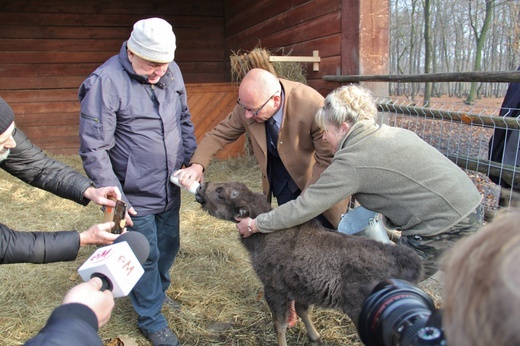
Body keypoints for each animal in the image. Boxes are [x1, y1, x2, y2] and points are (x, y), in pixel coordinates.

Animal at [195, 182, 422, 344]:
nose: (201, 187)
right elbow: (302, 310)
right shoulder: (301, 288)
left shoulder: (274, 288)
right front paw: (315, 337)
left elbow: (280, 324)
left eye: (221, 192)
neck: (266, 235)